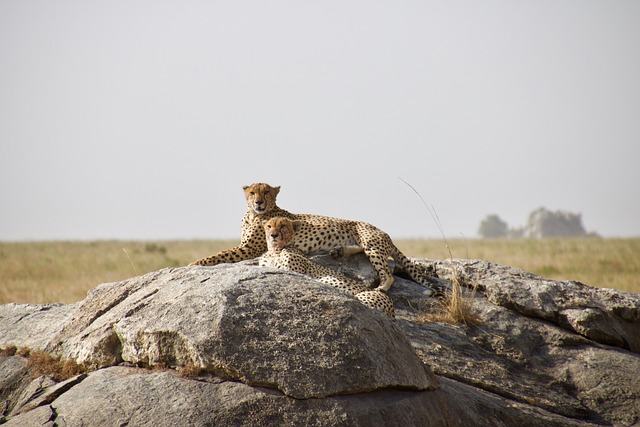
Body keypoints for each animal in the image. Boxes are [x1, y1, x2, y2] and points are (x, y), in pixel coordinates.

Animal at [190, 182, 440, 292]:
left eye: (266, 192)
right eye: (252, 192)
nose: (259, 201)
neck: (254, 214)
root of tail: (385, 232)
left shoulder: (249, 248)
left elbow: (219, 254)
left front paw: (194, 264)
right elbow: (221, 253)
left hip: (371, 242)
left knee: (388, 275)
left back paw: (378, 289)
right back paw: (339, 250)